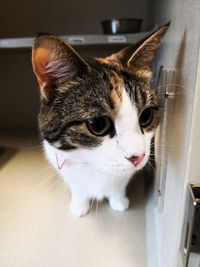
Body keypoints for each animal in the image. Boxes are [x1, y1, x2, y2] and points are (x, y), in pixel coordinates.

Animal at [31, 24, 169, 218]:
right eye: (98, 125)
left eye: (146, 116)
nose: (138, 157)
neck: (94, 167)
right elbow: (78, 188)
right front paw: (80, 205)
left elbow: (119, 186)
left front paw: (119, 201)